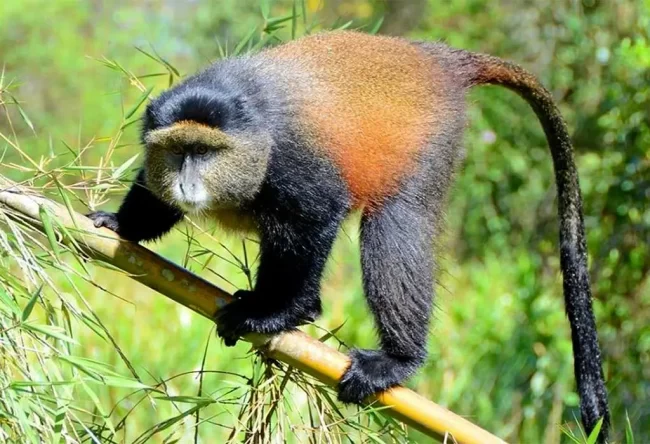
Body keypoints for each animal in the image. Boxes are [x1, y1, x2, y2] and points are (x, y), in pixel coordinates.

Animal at [87, 31, 609, 440]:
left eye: (206, 151)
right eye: (178, 151)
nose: (187, 183)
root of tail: (438, 59)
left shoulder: (294, 161)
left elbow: (316, 217)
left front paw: (280, 314)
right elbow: (153, 197)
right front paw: (120, 225)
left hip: (427, 143)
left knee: (394, 225)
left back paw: (396, 359)